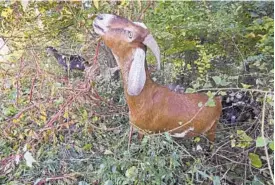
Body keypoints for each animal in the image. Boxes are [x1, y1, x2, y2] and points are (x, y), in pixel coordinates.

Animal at [94, 14, 223, 142]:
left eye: (130, 34)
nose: (100, 17)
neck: (144, 95)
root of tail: (217, 99)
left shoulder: (146, 132)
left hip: (212, 129)